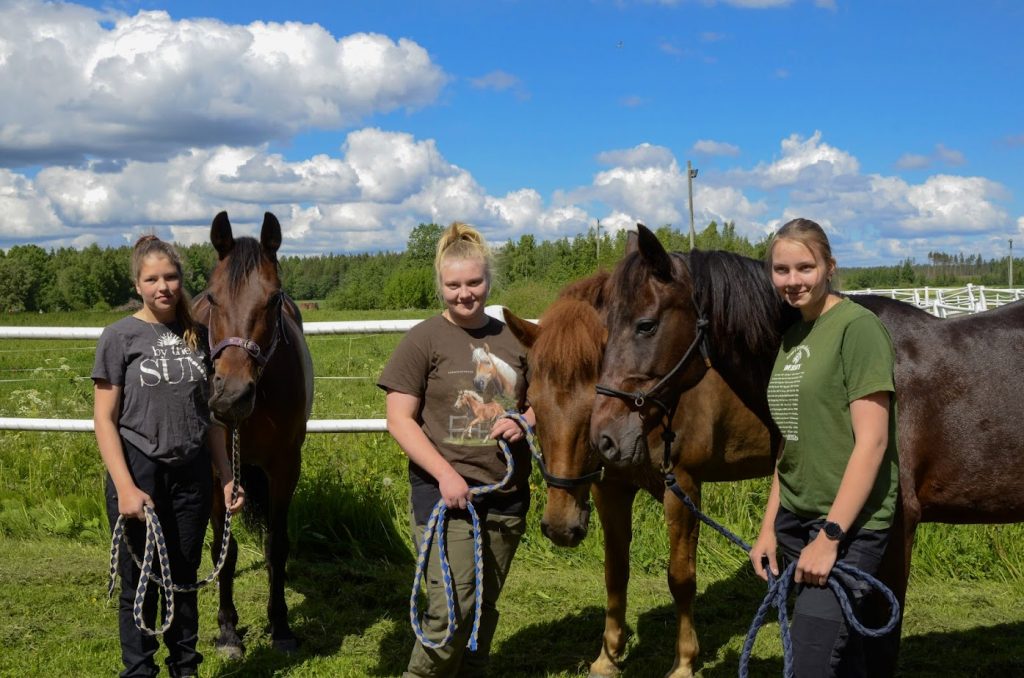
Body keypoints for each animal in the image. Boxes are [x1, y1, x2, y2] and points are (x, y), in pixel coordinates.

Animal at [192, 213, 311, 659]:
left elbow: (277, 546)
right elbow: (223, 551)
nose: (230, 397)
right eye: (213, 298)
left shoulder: (285, 467)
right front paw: (228, 630)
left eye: (274, 299)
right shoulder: (216, 474)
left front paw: (281, 626)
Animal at [499, 270, 770, 678]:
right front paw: (607, 657)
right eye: (532, 403)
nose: (560, 528)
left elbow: (681, 577)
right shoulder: (611, 488)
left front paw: (684, 662)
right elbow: (615, 572)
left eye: (594, 406)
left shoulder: (683, 487)